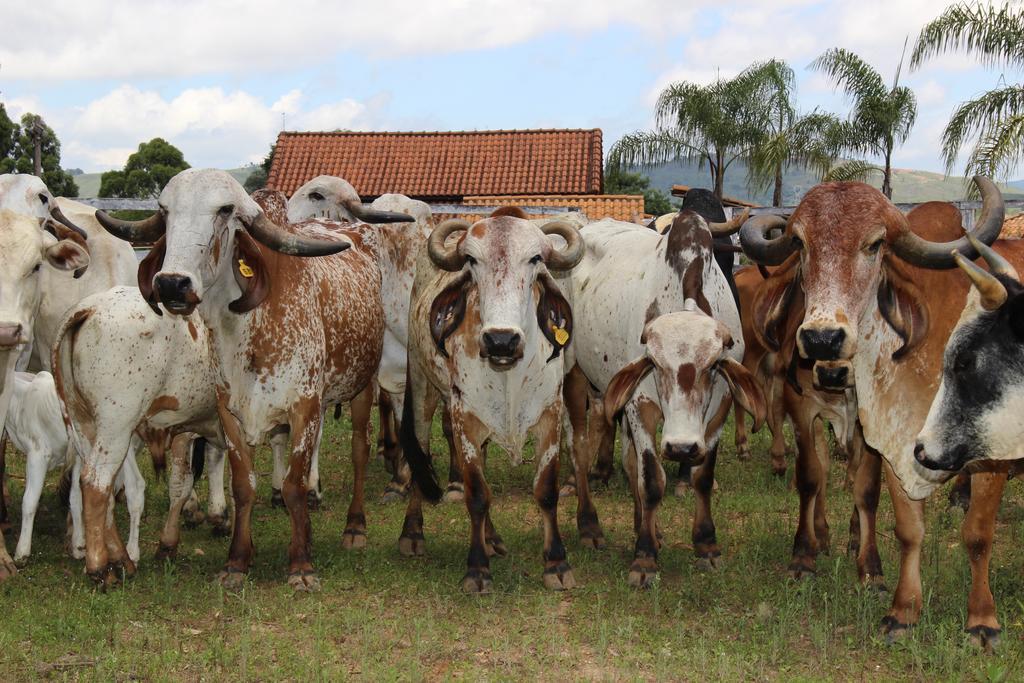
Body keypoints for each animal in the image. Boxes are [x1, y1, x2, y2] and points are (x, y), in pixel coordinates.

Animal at [90, 171, 393, 593]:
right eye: (165, 211)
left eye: (224, 210)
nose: (171, 284)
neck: (248, 326)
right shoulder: (229, 412)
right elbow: (243, 486)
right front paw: (237, 561)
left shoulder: (304, 408)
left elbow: (296, 485)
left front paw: (301, 564)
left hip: (362, 385)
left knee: (359, 450)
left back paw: (354, 525)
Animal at [397, 206, 581, 593]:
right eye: (471, 260)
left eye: (536, 258)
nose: (501, 340)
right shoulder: (464, 419)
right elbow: (477, 495)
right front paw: (477, 568)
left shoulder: (550, 417)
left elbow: (546, 491)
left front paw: (556, 563)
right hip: (422, 390)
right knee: (421, 452)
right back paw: (413, 533)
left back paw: (493, 539)